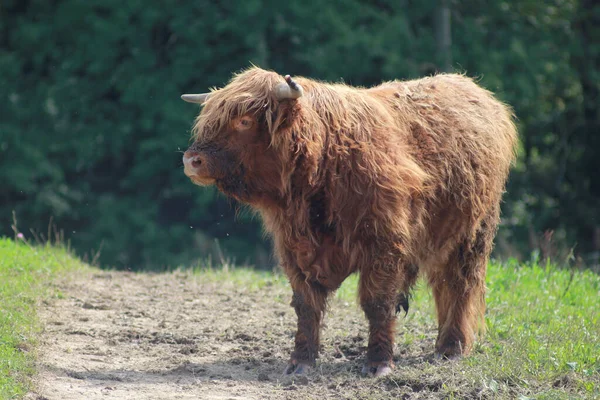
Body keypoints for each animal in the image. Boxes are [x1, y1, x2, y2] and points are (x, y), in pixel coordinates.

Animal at [180, 67, 516, 376]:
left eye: (244, 121)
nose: (191, 160)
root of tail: (473, 88)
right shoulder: (293, 247)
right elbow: (305, 305)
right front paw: (300, 362)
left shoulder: (384, 242)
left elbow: (378, 302)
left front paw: (379, 363)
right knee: (444, 286)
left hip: (472, 234)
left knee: (460, 285)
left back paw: (452, 348)